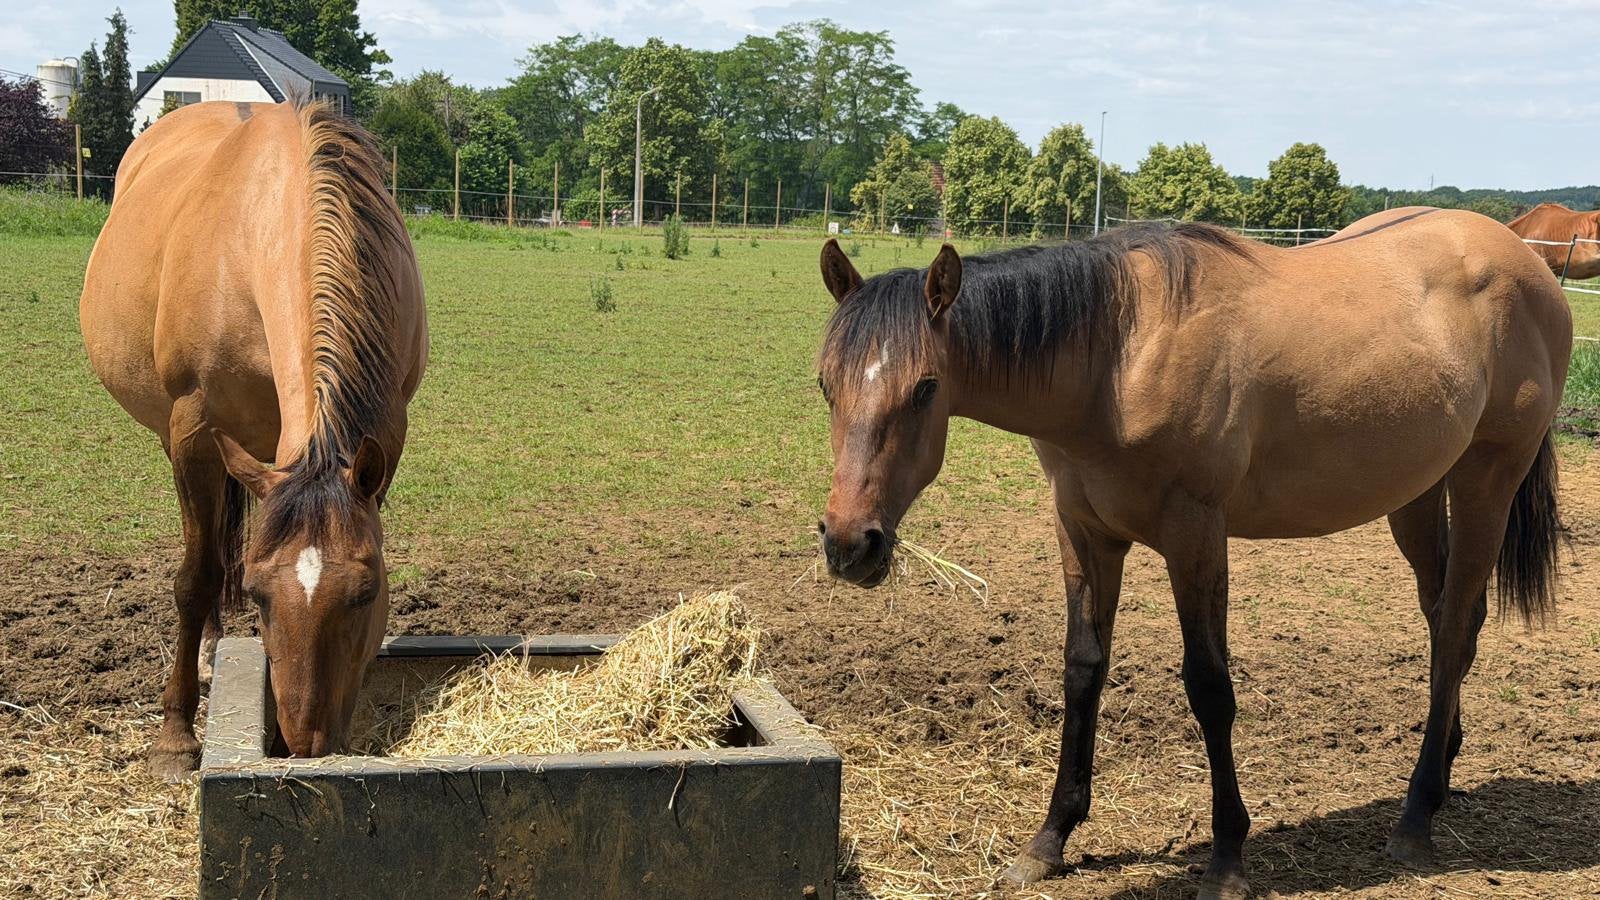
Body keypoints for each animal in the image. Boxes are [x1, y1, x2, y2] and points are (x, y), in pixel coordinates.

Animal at [79, 99, 428, 780]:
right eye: (261, 598)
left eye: (366, 592)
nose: (306, 744)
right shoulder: (193, 432)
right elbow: (197, 577)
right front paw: (175, 737)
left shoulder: (386, 434)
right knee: (210, 547)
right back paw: (208, 651)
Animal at [813, 207, 1569, 899]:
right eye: (825, 383)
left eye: (926, 386)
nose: (851, 543)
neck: (1118, 356)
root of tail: (1525, 259)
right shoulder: (1083, 532)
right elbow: (1082, 670)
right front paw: (1050, 839)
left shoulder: (1195, 534)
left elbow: (1209, 686)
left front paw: (1227, 858)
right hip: (1416, 493)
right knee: (1449, 623)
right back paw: (1443, 767)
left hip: (1486, 480)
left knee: (1453, 628)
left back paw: (1416, 816)